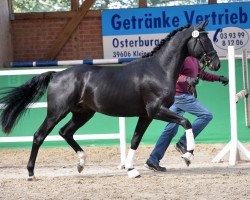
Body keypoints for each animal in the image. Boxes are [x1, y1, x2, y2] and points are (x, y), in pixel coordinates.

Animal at [0, 20, 220, 180]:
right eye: (204, 40)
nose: (216, 64)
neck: (158, 69)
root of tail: (57, 74)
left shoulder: (146, 115)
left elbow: (135, 140)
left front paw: (131, 170)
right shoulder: (156, 111)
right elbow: (186, 122)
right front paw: (188, 155)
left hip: (83, 113)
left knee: (65, 132)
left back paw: (81, 163)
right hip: (57, 112)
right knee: (39, 135)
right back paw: (30, 173)